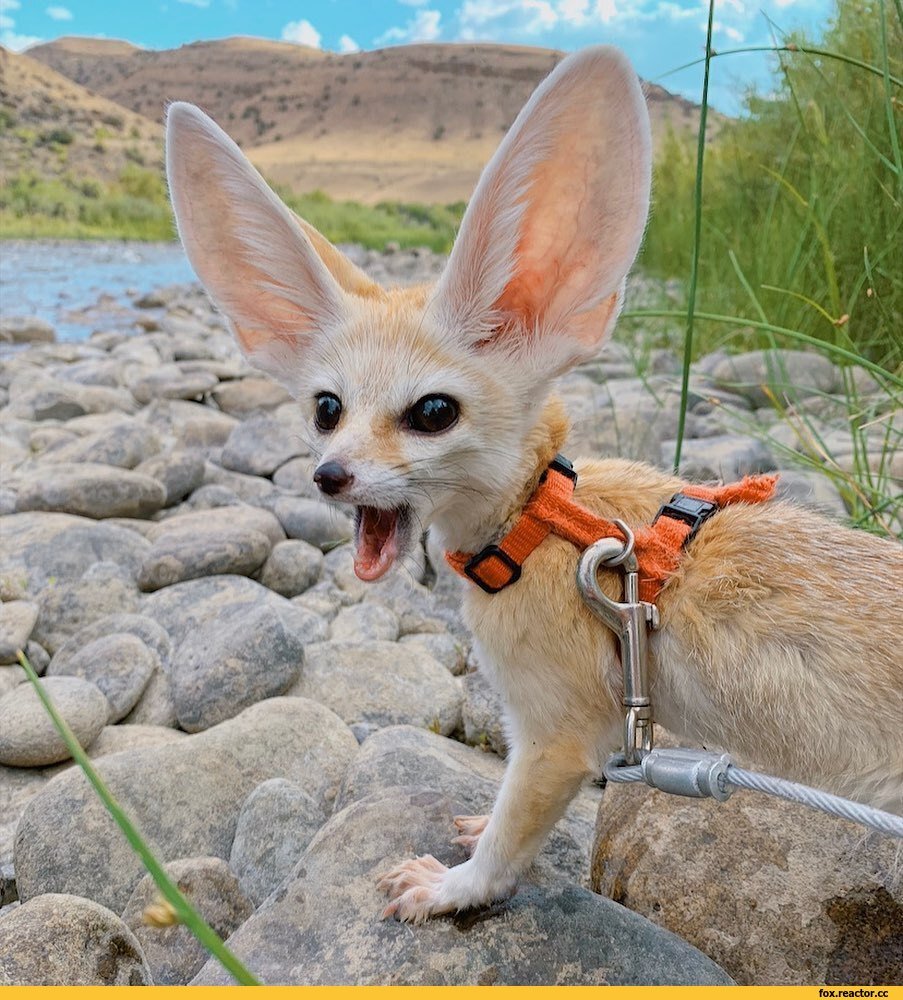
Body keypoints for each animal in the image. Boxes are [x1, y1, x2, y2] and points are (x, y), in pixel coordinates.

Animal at [165, 46, 902, 924]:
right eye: (325, 408)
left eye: (433, 412)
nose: (328, 475)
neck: (537, 522)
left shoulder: (558, 735)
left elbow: (510, 840)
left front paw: (452, 887)